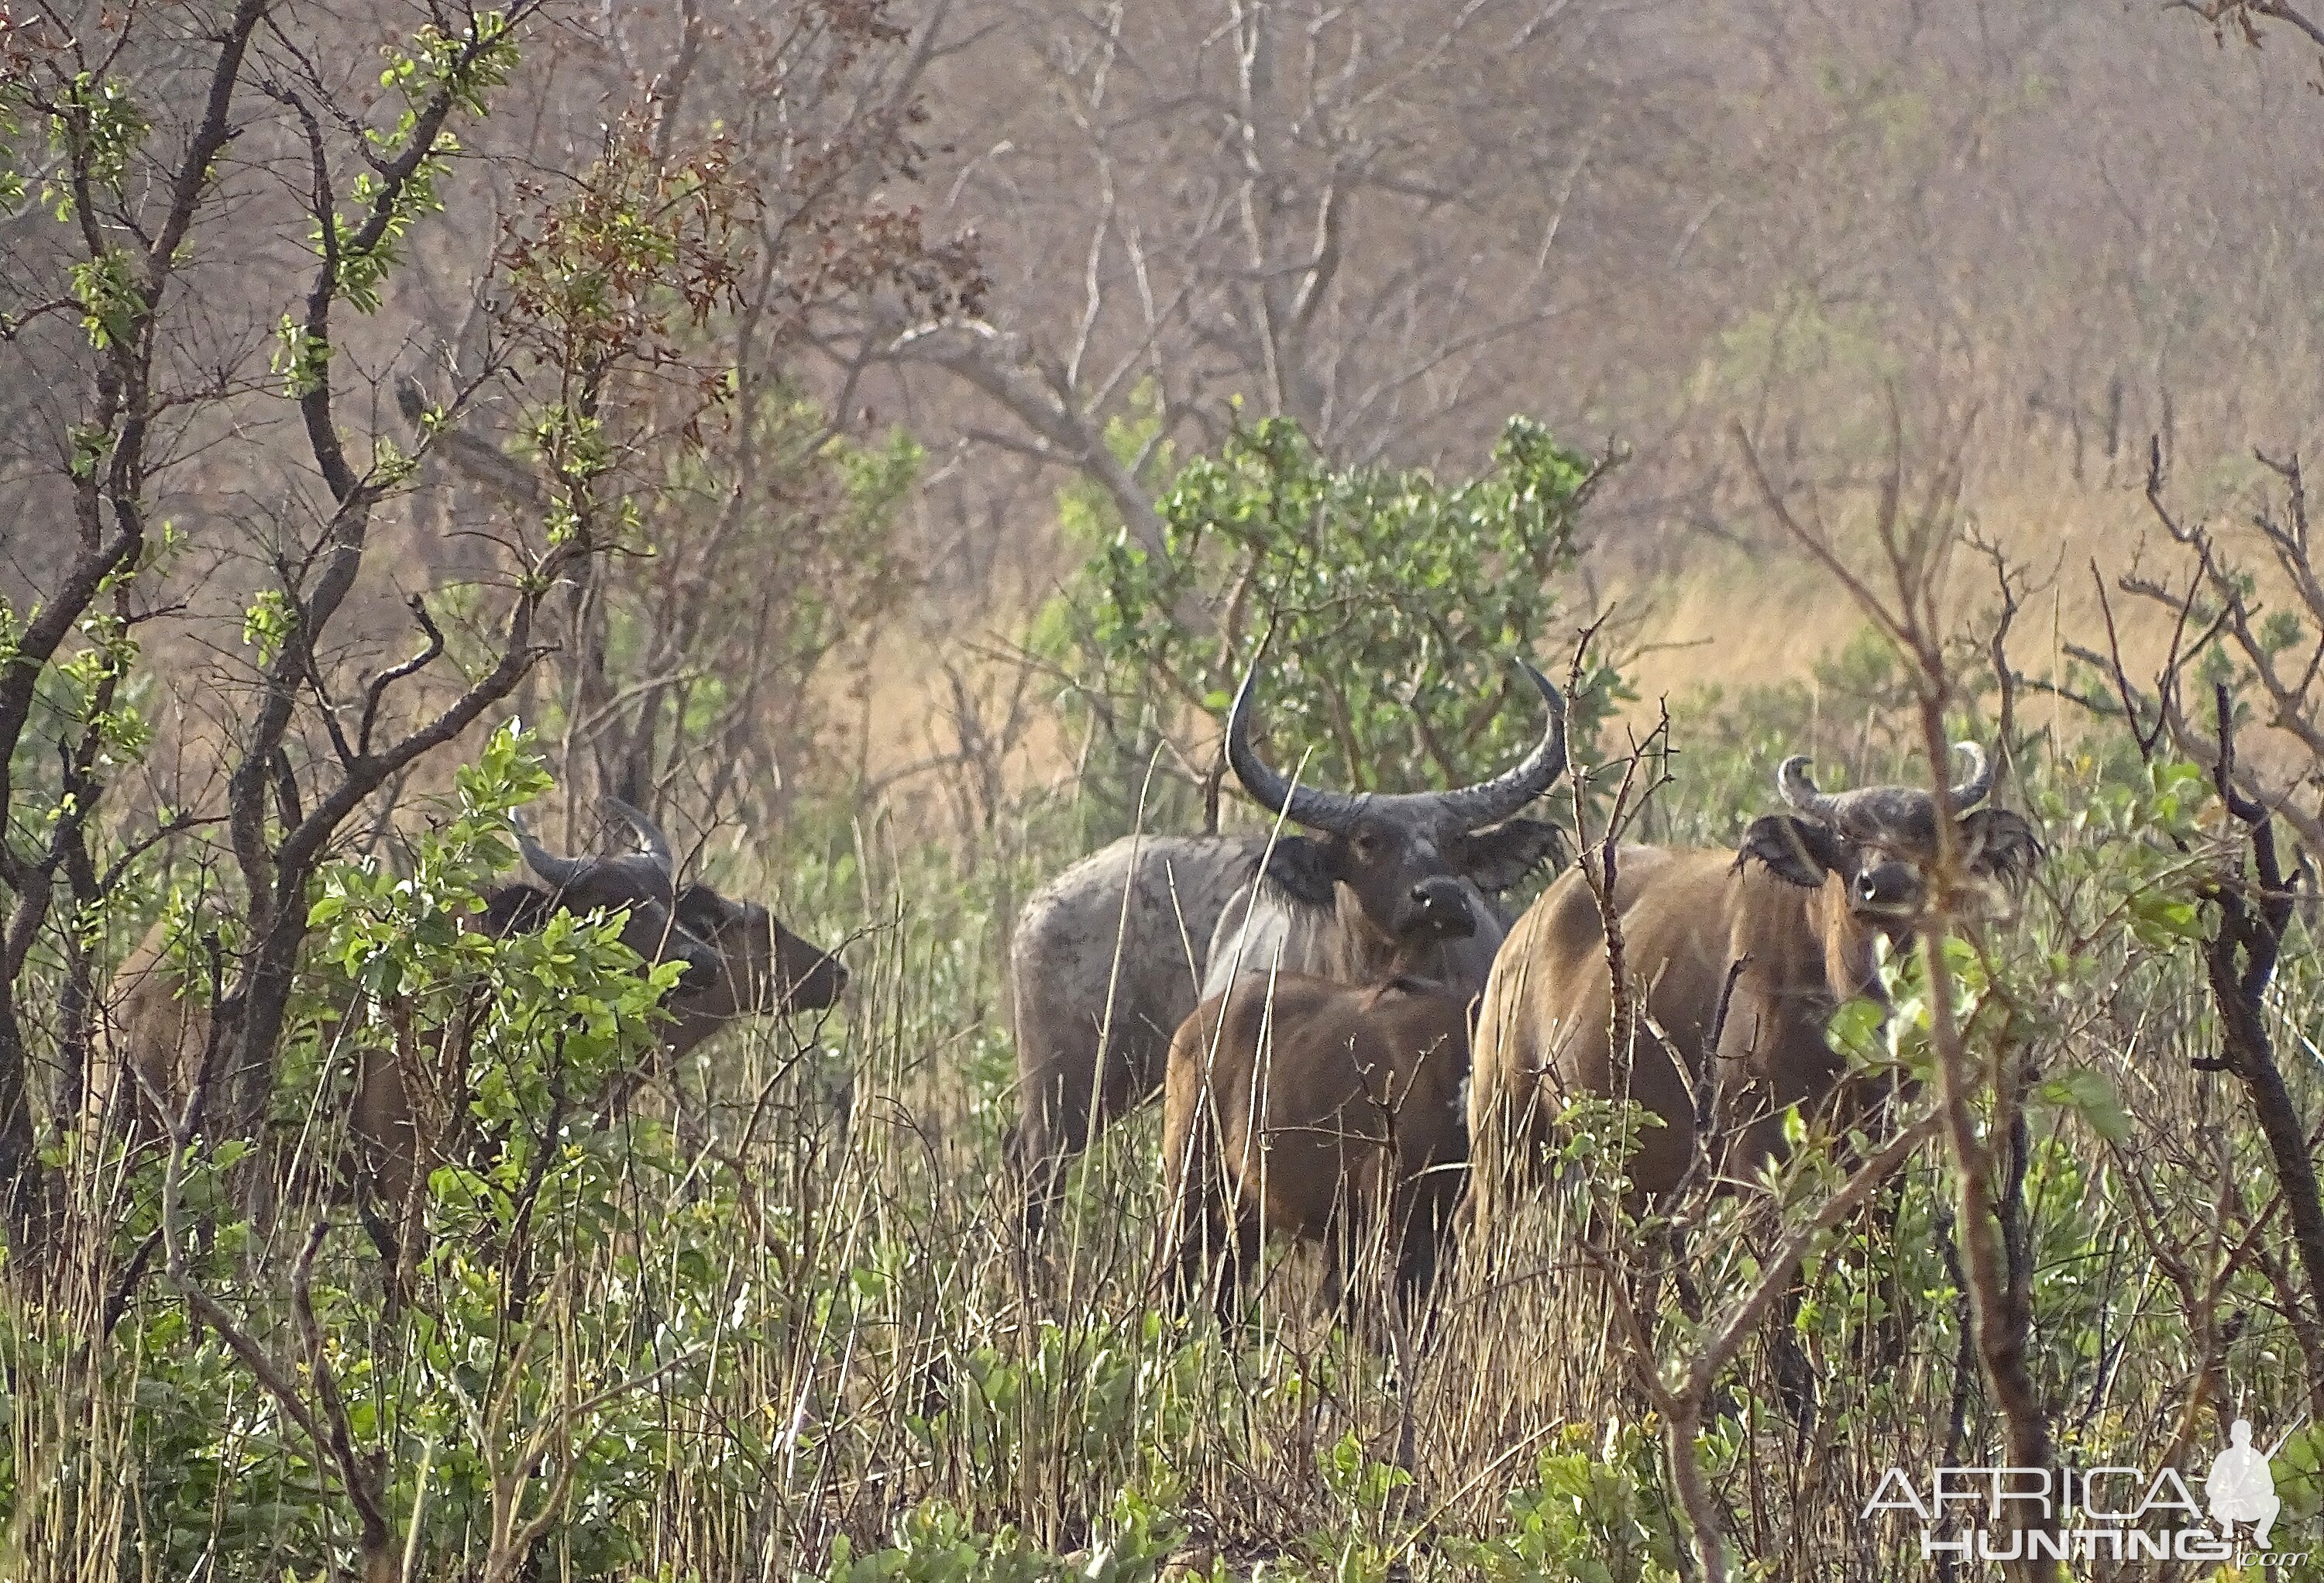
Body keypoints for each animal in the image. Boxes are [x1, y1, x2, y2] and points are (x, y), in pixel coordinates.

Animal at [1009, 651, 1571, 1237]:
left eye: (1455, 841)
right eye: (1367, 841)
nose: (1438, 896)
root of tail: (1037, 907)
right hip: (1070, 1092)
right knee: (1031, 1168)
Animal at [1469, 744, 2036, 1237]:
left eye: (1926, 836)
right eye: (1847, 834)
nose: (1887, 884)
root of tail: (1524, 931)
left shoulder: (1882, 1154)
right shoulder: (1756, 1159)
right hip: (1506, 1144)